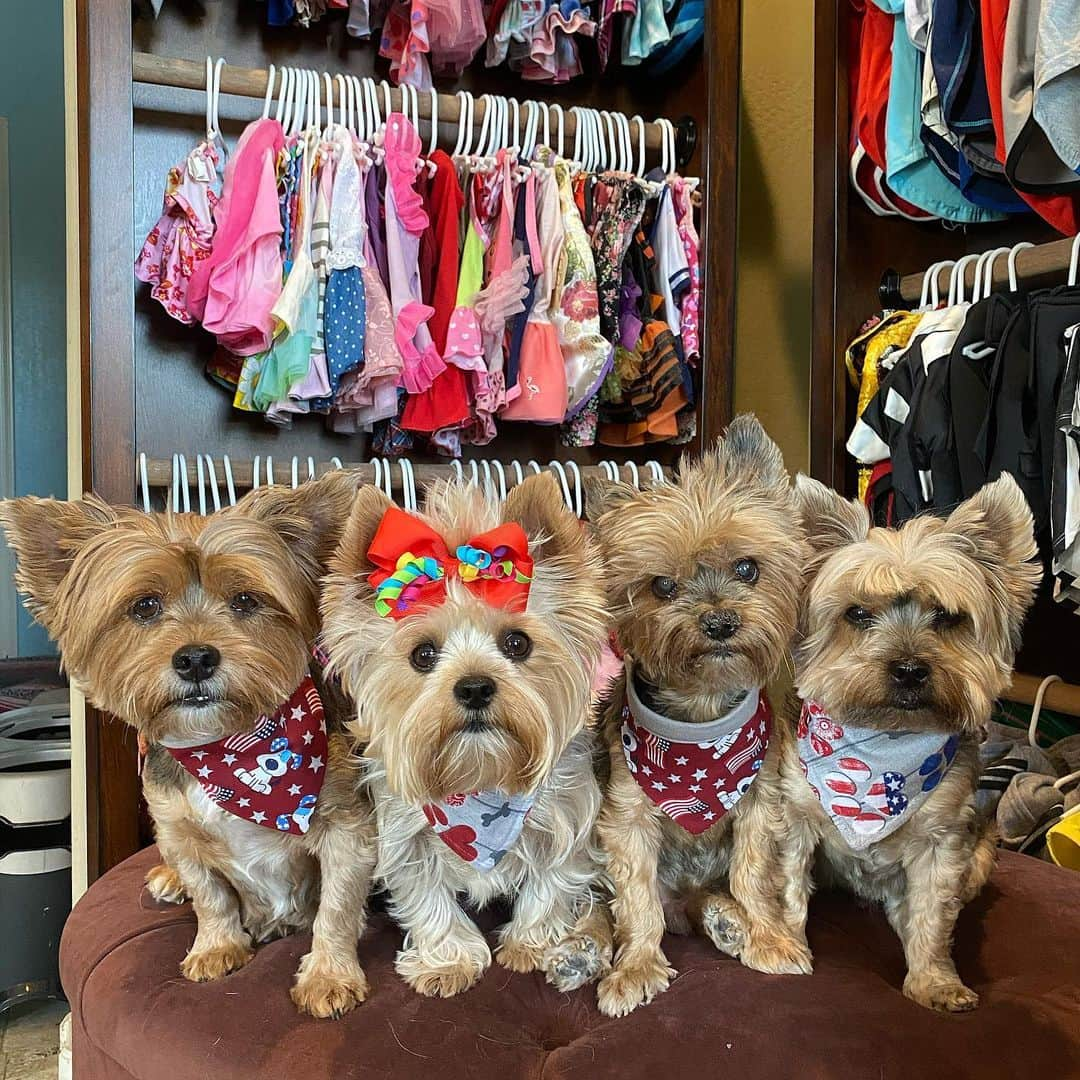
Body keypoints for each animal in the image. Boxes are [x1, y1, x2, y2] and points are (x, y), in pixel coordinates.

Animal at [0, 475, 380, 1019]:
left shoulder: (348, 829)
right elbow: (209, 892)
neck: (227, 746)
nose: (196, 658)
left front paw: (329, 976)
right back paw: (168, 878)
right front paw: (217, 946)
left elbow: (337, 906)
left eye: (245, 601)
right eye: (145, 606)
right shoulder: (174, 825)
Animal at [317, 477, 617, 997]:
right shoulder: (405, 832)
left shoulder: (566, 818)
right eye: (422, 654)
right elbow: (427, 898)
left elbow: (553, 882)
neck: (479, 778)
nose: (475, 686)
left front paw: (531, 944)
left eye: (517, 643)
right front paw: (448, 961)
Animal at [591, 412, 812, 1010]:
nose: (718, 622)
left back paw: (725, 920)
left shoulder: (761, 800)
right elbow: (636, 898)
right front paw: (636, 968)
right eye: (662, 586)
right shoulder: (627, 815)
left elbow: (753, 873)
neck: (702, 714)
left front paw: (767, 936)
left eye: (747, 568)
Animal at [777, 473, 1036, 1010]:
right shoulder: (794, 816)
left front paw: (933, 981)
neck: (884, 747)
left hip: (982, 851)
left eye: (947, 616)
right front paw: (785, 946)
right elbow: (788, 887)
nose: (910, 669)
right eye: (857, 613)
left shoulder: (942, 843)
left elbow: (933, 915)